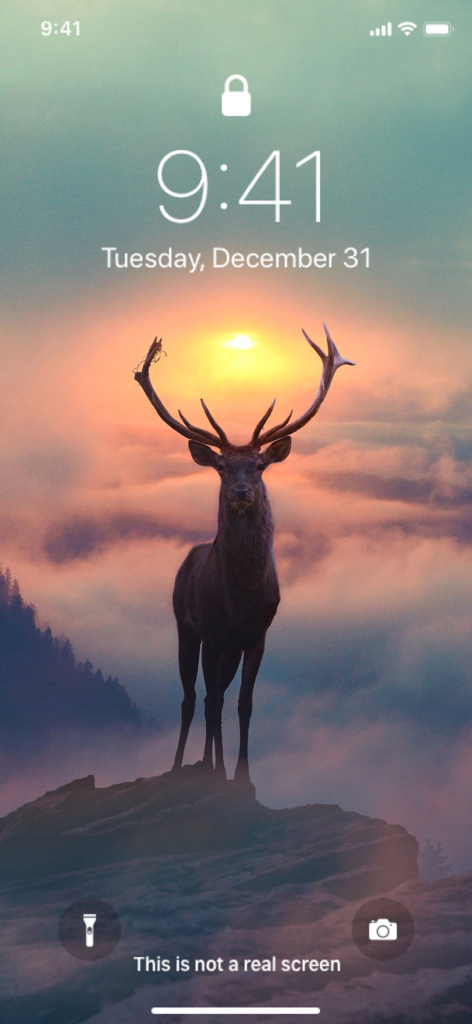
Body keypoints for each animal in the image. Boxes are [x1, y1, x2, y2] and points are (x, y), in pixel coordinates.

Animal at [134, 325, 354, 786]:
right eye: (222, 468)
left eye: (259, 465)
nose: (240, 492)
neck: (240, 599)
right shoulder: (213, 630)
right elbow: (213, 700)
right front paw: (216, 769)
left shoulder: (257, 634)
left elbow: (244, 704)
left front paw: (242, 774)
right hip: (185, 626)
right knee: (192, 697)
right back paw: (183, 764)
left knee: (212, 696)